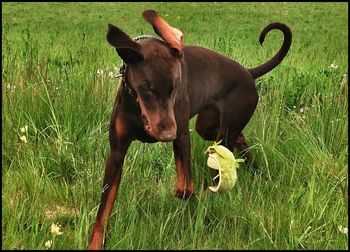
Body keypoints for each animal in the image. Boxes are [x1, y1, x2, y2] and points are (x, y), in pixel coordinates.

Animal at [89, 8, 292, 249]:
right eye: (146, 89)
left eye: (175, 86)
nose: (167, 134)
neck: (137, 107)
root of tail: (248, 72)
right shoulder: (117, 153)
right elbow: (103, 208)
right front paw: (95, 242)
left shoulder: (182, 134)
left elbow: (186, 186)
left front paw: (182, 190)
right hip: (209, 126)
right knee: (240, 139)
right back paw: (256, 169)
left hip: (221, 131)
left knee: (227, 155)